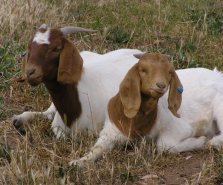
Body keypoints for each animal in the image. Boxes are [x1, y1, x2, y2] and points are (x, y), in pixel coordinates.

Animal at [70, 52, 223, 167]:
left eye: (169, 72)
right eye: (143, 70)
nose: (161, 85)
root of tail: (218, 75)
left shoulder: (181, 128)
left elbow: (164, 145)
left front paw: (200, 140)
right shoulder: (111, 130)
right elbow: (97, 148)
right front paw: (77, 163)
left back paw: (212, 142)